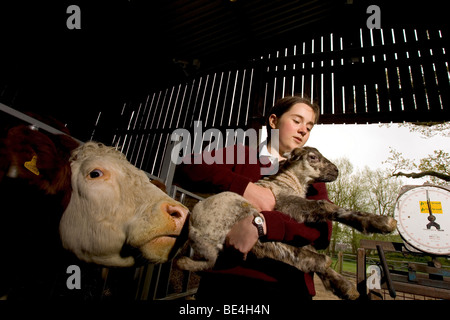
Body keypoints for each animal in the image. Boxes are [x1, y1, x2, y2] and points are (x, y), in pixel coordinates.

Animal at [176, 146, 398, 302]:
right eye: (313, 157)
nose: (336, 170)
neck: (291, 182)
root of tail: (191, 223)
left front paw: (344, 286)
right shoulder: (288, 204)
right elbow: (325, 205)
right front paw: (381, 222)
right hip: (237, 215)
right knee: (269, 247)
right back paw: (320, 260)